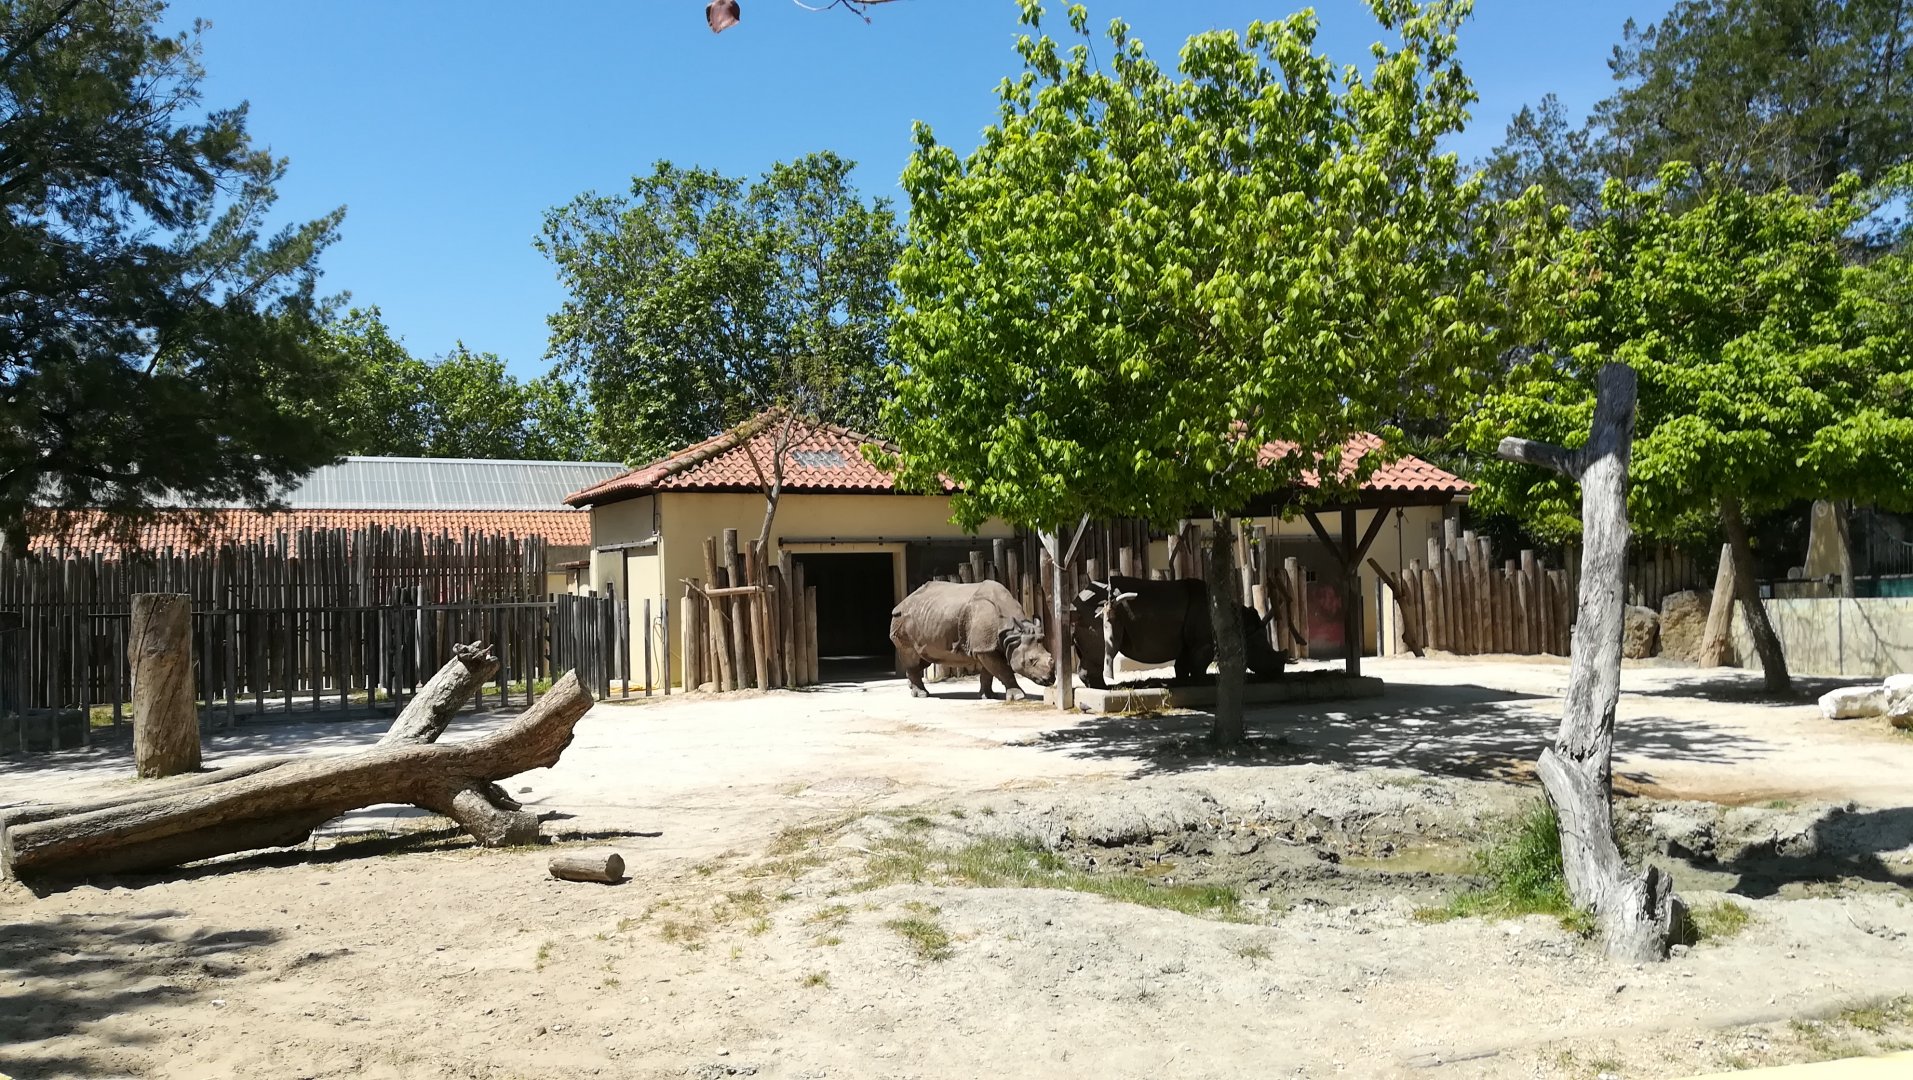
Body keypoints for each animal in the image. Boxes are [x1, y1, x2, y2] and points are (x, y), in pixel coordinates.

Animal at [890, 580, 1056, 700]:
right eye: (1031, 661)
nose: (1050, 680)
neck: (1012, 634)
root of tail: (903, 602)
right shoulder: (985, 648)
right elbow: (1004, 671)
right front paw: (1019, 697)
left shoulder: (987, 647)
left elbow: (989, 673)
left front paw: (989, 696)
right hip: (901, 619)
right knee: (911, 656)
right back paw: (922, 695)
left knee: (923, 660)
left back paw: (912, 688)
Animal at [1072, 575, 1286, 688]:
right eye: (1264, 649)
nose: (1279, 672)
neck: (1242, 626)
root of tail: (1076, 602)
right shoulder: (1204, 642)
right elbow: (1200, 664)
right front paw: (1205, 682)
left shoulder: (1188, 642)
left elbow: (1183, 664)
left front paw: (1183, 682)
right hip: (1094, 611)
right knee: (1101, 649)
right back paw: (1103, 688)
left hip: (1089, 611)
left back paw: (1096, 686)